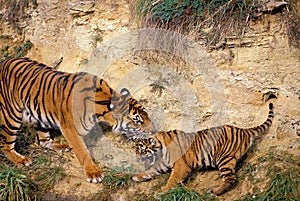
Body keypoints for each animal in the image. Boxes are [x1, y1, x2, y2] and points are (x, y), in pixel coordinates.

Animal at [0, 57, 155, 183]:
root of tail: (4, 61)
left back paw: (60, 146)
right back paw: (22, 160)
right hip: (11, 116)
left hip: (39, 116)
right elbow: (82, 151)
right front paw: (94, 173)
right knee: (5, 145)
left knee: (43, 141)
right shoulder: (70, 128)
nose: (154, 131)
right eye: (137, 121)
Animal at [133, 102, 274, 195]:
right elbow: (151, 170)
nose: (138, 160)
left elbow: (172, 180)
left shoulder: (180, 166)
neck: (161, 150)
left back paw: (215, 191)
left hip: (224, 158)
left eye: (141, 150)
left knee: (231, 179)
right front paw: (137, 176)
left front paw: (161, 191)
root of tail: (243, 130)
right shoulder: (163, 164)